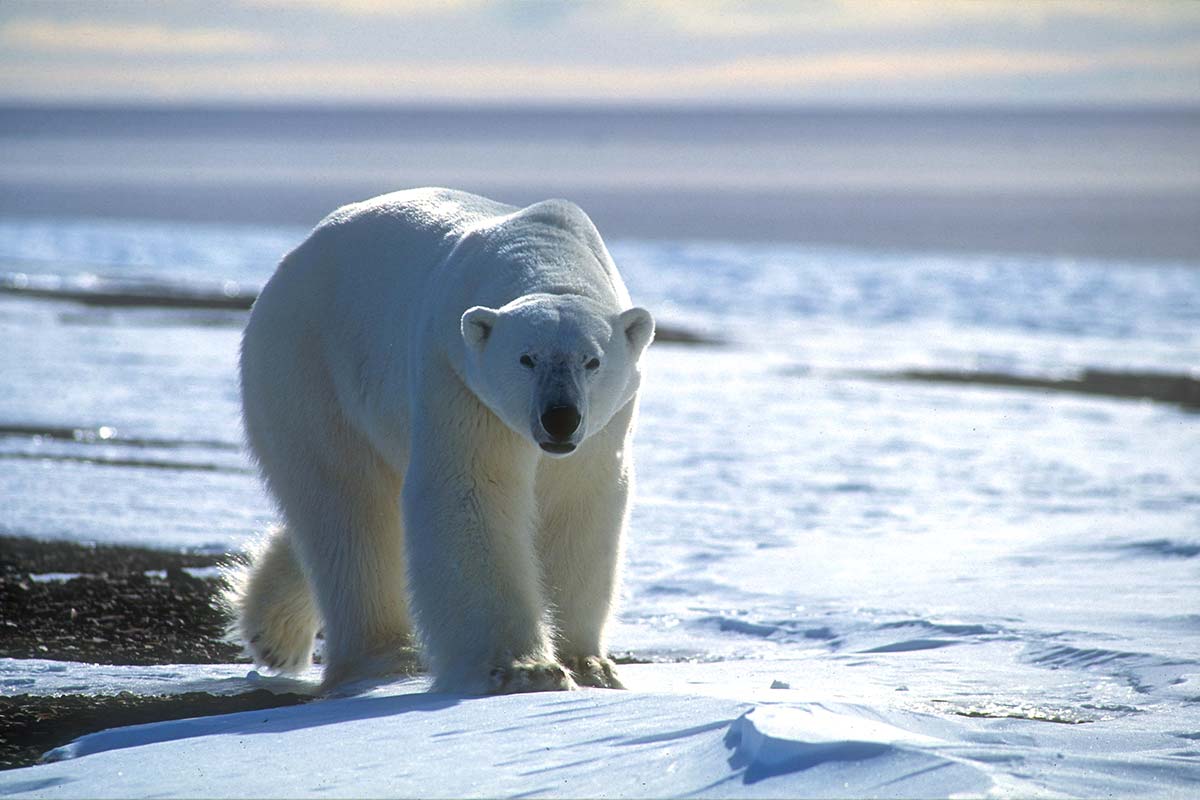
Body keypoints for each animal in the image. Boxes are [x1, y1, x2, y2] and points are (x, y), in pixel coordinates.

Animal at [226, 188, 657, 695]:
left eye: (592, 361)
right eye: (526, 358)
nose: (560, 418)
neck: (547, 251)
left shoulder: (603, 426)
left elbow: (578, 502)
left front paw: (589, 664)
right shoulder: (456, 376)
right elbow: (470, 492)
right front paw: (526, 669)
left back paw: (272, 631)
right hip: (309, 365)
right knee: (347, 507)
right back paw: (384, 656)